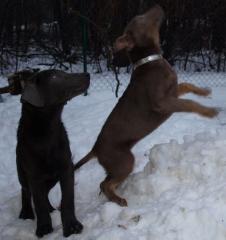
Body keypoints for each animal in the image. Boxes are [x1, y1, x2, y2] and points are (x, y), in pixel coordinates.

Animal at [0, 69, 90, 238]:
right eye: (55, 76)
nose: (87, 74)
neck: (48, 129)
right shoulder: (34, 175)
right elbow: (39, 202)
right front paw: (43, 228)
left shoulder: (66, 168)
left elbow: (67, 199)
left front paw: (72, 226)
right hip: (23, 173)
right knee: (26, 192)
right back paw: (26, 212)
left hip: (51, 178)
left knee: (45, 193)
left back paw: (50, 208)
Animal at [74, 5, 219, 207]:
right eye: (141, 19)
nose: (158, 6)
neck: (149, 59)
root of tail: (95, 149)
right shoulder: (163, 102)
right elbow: (189, 103)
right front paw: (211, 112)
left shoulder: (174, 92)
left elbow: (188, 85)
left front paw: (205, 91)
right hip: (124, 160)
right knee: (105, 184)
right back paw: (119, 200)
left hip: (117, 165)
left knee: (105, 182)